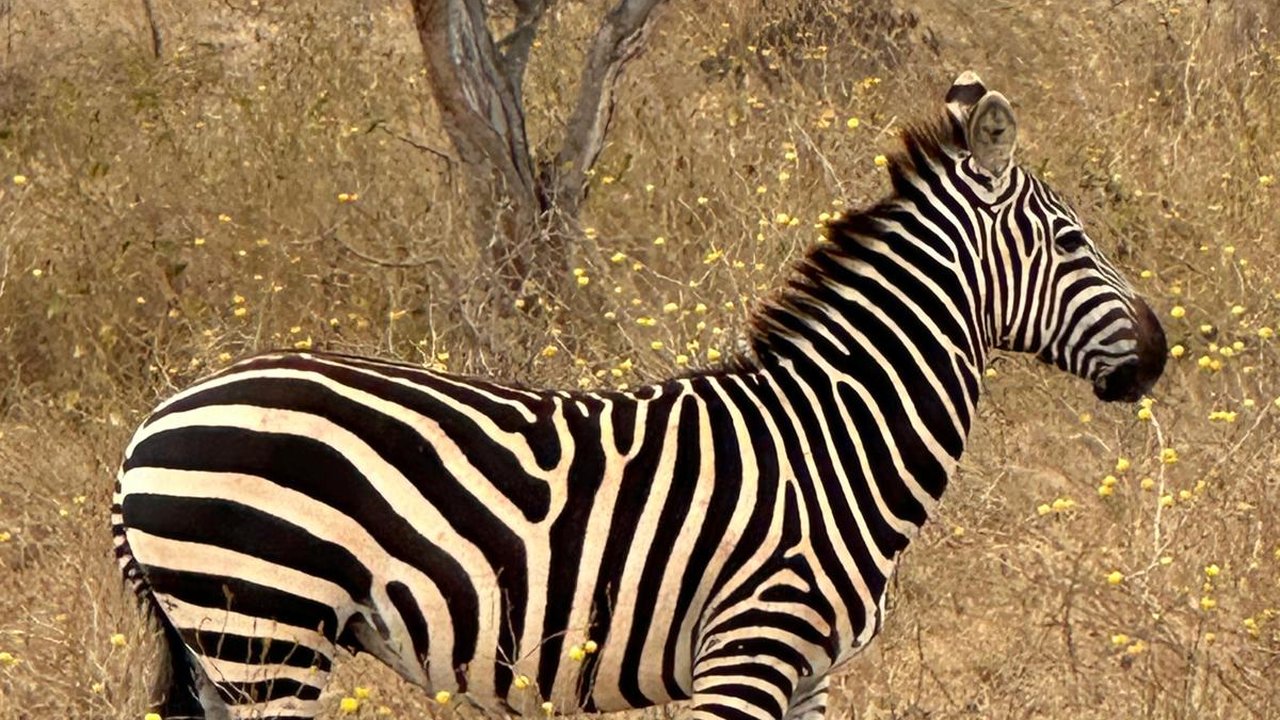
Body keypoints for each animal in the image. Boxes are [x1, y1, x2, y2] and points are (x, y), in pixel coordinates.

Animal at [113, 72, 1166, 720]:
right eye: (1072, 241)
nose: (1158, 356)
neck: (838, 438)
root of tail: (151, 426)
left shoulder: (811, 673)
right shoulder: (750, 649)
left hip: (227, 648)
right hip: (263, 629)